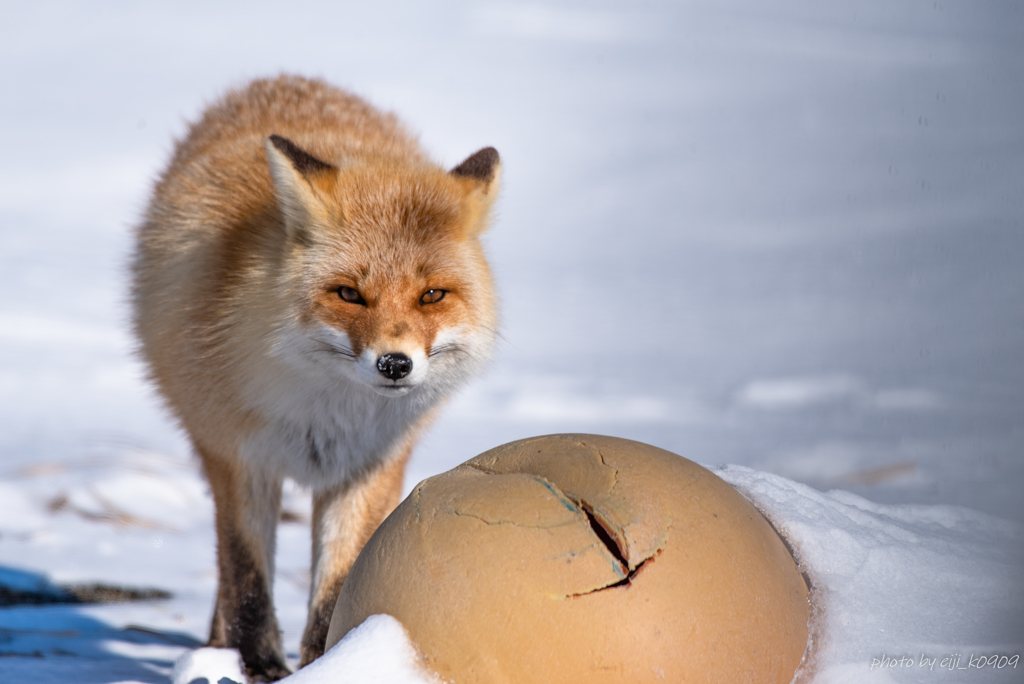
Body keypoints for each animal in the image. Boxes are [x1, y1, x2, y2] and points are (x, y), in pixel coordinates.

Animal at [132, 73, 499, 679]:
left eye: (432, 295)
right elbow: (247, 581)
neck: (323, 412)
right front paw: (261, 668)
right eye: (349, 293)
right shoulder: (240, 458)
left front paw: (330, 661)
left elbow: (336, 586)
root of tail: (285, 80)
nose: (395, 363)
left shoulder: (366, 468)